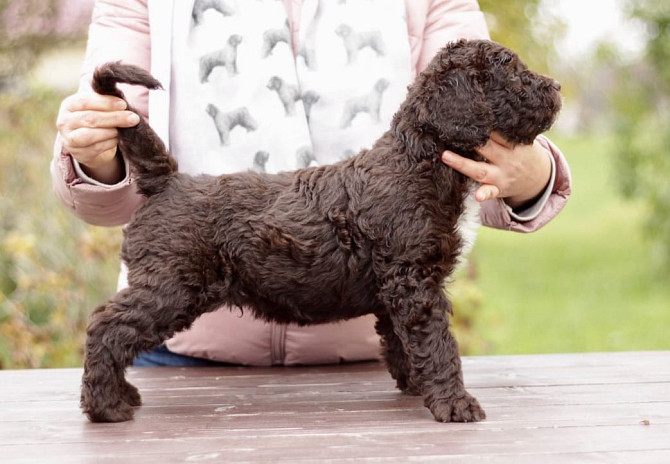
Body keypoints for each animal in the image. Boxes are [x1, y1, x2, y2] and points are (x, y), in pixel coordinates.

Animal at [80, 40, 560, 424]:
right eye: (511, 70)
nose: (556, 87)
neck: (418, 159)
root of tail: (168, 180)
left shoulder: (397, 288)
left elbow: (404, 343)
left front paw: (417, 387)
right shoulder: (414, 281)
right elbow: (438, 344)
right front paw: (455, 404)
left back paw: (121, 396)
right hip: (171, 286)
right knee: (107, 327)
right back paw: (107, 406)